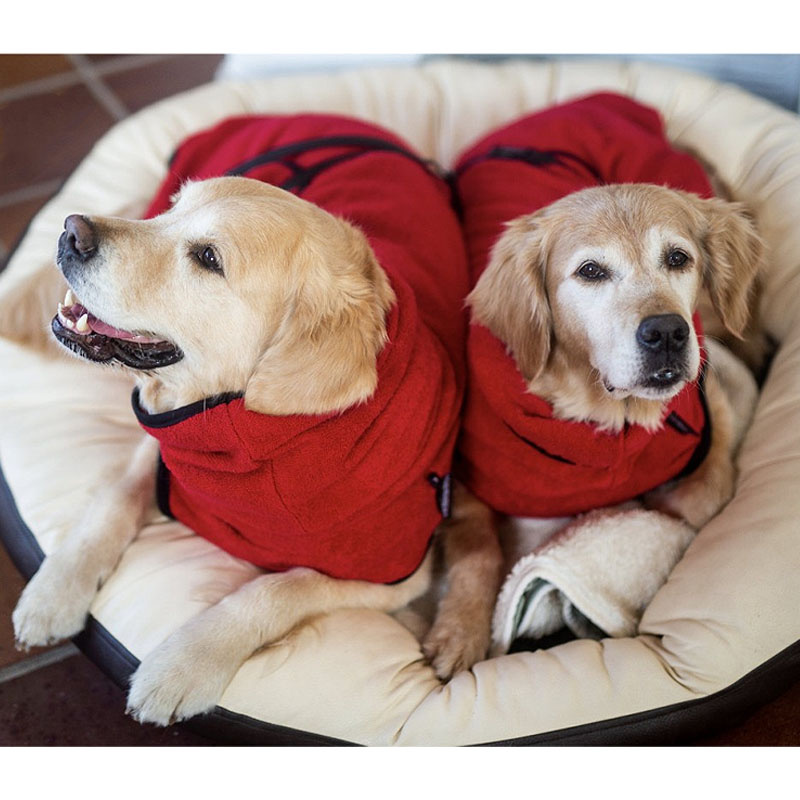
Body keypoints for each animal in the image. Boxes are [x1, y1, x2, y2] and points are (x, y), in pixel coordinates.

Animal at [9, 178, 500, 728]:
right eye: (172, 210)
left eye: (208, 257)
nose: (72, 230)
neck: (261, 447)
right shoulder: (159, 444)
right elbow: (113, 501)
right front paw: (54, 592)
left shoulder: (392, 572)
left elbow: (279, 589)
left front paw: (182, 666)